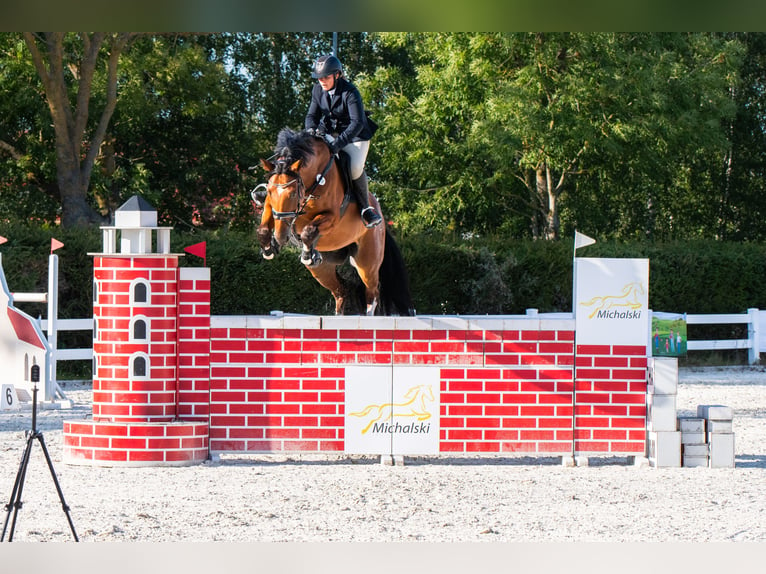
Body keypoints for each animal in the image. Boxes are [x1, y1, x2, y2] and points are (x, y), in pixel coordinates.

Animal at [256, 128, 414, 318]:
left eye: (293, 194)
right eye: (270, 191)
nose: (280, 237)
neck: (313, 180)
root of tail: (381, 219)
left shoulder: (332, 218)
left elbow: (309, 230)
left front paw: (306, 253)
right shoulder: (270, 206)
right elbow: (263, 229)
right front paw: (269, 249)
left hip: (367, 262)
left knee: (372, 293)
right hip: (323, 268)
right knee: (341, 291)